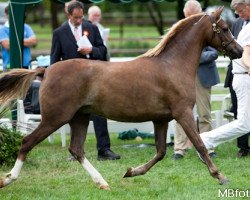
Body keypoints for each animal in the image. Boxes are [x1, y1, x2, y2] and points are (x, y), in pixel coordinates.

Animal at [0, 7, 242, 189]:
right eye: (224, 28)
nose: (239, 51)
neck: (172, 65)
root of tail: (45, 70)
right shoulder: (182, 113)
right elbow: (199, 144)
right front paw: (220, 176)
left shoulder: (161, 119)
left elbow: (161, 152)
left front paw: (131, 172)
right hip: (55, 118)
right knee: (27, 142)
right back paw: (9, 178)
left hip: (79, 118)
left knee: (76, 150)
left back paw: (102, 182)